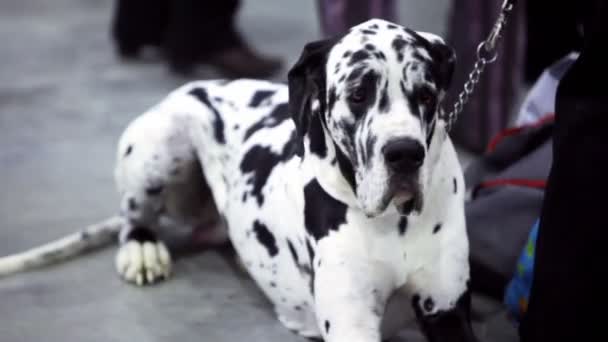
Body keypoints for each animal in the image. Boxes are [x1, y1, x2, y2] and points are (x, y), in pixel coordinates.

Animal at [0, 19, 480, 342]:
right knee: (134, 217)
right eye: (358, 94)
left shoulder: (446, 309)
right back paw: (142, 250)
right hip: (160, 140)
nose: (404, 154)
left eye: (426, 95)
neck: (394, 223)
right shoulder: (351, 321)